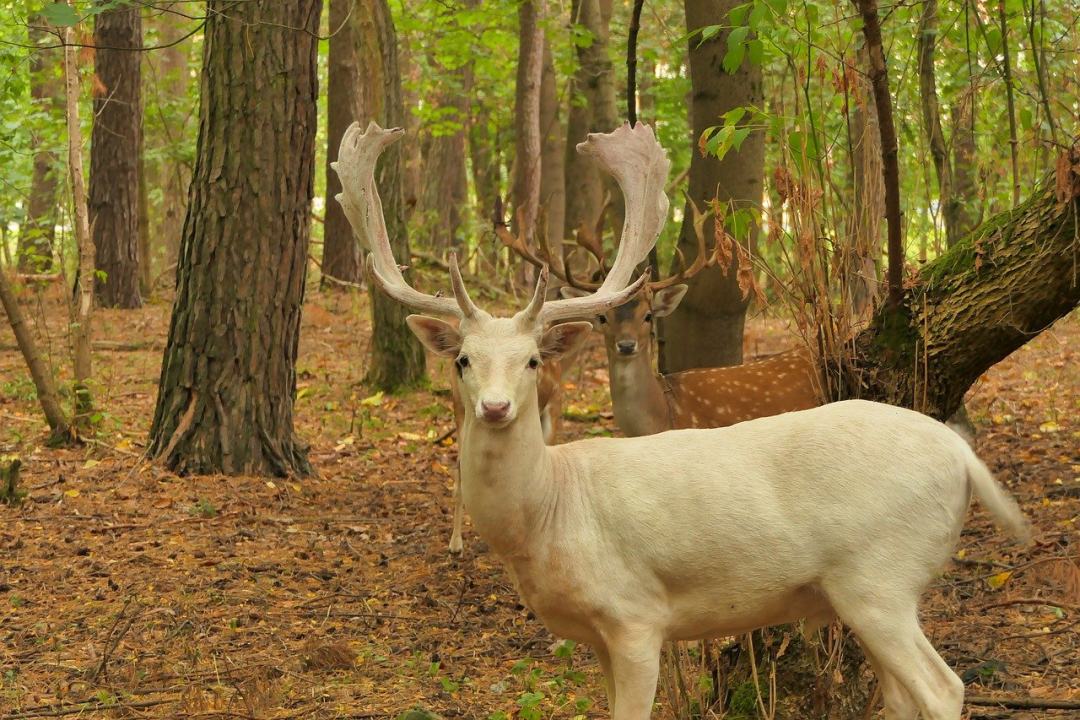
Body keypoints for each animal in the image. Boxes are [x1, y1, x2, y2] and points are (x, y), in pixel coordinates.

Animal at [332, 120, 1032, 716]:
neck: (551, 511)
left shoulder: (637, 616)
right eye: (463, 360)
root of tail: (961, 454)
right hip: (872, 589)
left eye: (533, 359)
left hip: (879, 573)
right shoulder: (595, 635)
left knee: (943, 687)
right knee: (902, 695)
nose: (496, 407)